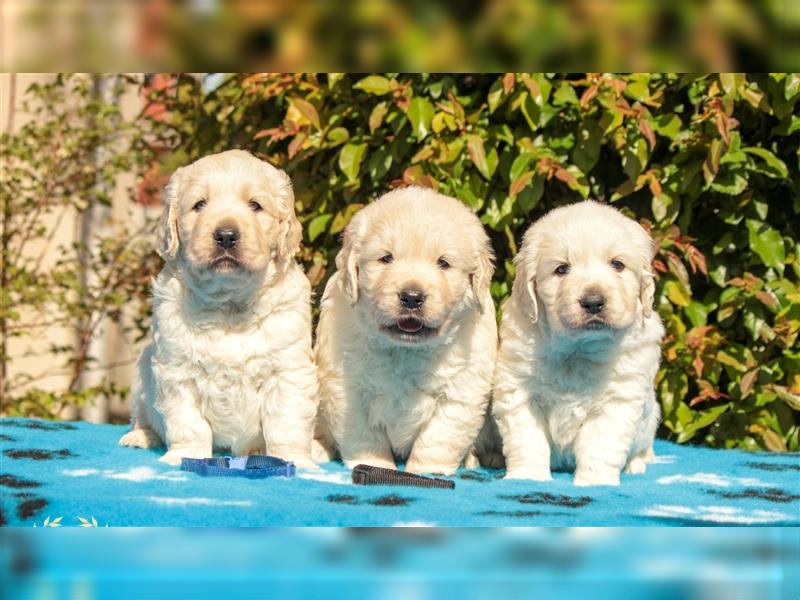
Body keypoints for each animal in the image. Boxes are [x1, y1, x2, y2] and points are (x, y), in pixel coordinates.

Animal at [119, 151, 318, 468]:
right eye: (199, 204)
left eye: (255, 205)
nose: (225, 235)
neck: (229, 304)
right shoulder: (177, 369)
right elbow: (189, 423)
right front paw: (185, 456)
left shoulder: (288, 370)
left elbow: (287, 422)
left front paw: (293, 460)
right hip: (141, 377)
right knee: (142, 415)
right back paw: (141, 436)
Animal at [310, 185, 494, 476]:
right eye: (386, 258)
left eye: (443, 263)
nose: (411, 297)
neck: (405, 349)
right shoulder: (347, 389)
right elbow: (365, 437)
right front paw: (375, 465)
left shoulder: (462, 391)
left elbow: (438, 439)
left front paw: (426, 472)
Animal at [494, 202, 664, 488]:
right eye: (561, 269)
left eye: (617, 264)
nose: (593, 302)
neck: (578, 348)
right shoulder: (519, 390)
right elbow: (527, 440)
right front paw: (527, 477)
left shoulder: (618, 398)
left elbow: (601, 446)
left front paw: (595, 482)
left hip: (649, 420)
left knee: (643, 449)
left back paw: (637, 465)